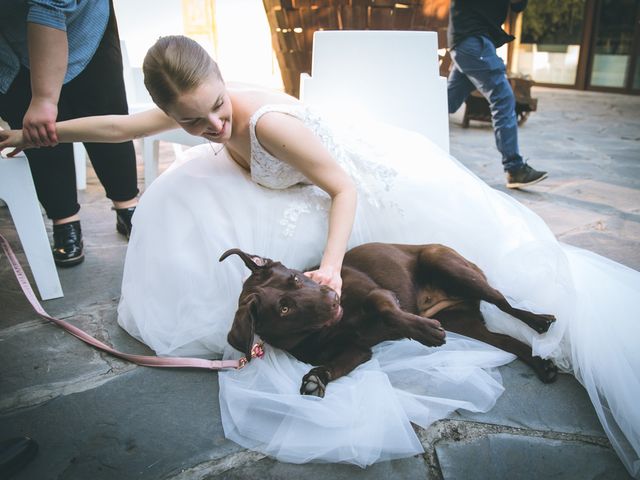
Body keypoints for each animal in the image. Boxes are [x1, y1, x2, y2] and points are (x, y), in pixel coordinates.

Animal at [222, 244, 556, 398]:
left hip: (446, 263)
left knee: (504, 302)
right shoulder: (357, 352)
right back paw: (543, 365)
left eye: (294, 278)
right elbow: (333, 366)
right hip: (466, 324)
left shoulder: (378, 293)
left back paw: (539, 320)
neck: (330, 328)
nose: (333, 299)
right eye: (284, 309)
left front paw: (423, 331)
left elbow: (384, 307)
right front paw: (316, 379)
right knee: (507, 341)